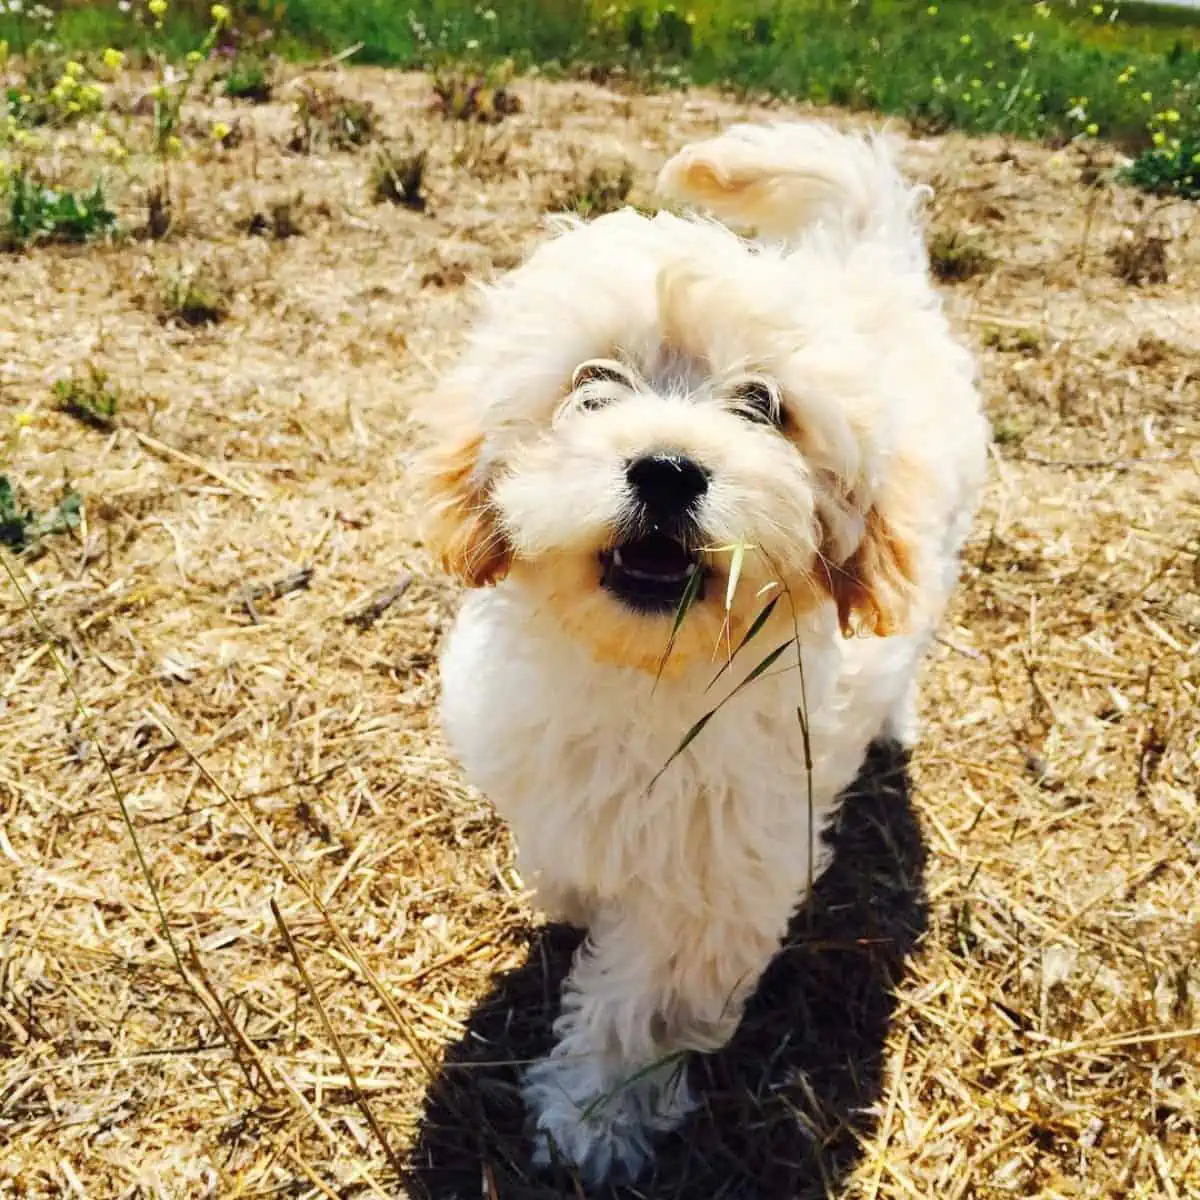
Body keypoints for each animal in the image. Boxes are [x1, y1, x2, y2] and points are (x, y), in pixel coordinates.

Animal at [417, 117, 988, 1185]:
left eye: (763, 404)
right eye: (592, 385)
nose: (669, 469)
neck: (650, 677)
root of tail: (865, 254)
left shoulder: (714, 885)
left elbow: (641, 1006)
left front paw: (593, 1118)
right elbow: (569, 861)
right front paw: (573, 901)